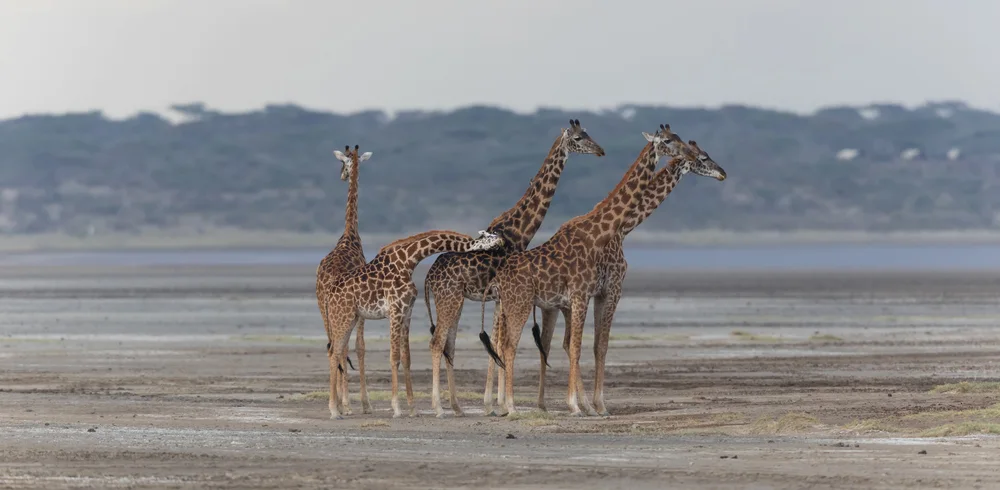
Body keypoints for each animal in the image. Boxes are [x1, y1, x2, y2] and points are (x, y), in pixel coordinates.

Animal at [324, 229, 505, 419]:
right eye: (490, 236)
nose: (502, 241)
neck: (409, 261)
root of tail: (329, 295)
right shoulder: (395, 311)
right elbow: (394, 357)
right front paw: (397, 409)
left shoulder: (407, 313)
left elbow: (406, 358)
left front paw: (413, 409)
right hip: (342, 317)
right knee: (335, 353)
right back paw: (334, 411)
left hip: (349, 318)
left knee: (334, 351)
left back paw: (337, 407)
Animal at [422, 119, 605, 417]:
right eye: (579, 138)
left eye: (588, 133)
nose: (600, 150)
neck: (519, 231)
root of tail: (427, 277)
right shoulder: (503, 295)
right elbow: (499, 341)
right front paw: (499, 404)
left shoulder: (498, 297)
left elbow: (497, 342)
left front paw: (494, 404)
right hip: (449, 299)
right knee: (437, 343)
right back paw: (438, 407)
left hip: (454, 300)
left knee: (449, 344)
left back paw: (457, 407)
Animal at [480, 124, 689, 416]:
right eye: (668, 141)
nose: (690, 154)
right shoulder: (590, 294)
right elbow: (579, 346)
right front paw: (579, 406)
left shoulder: (581, 298)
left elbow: (582, 345)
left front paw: (588, 405)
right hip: (513, 304)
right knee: (502, 344)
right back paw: (504, 405)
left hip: (515, 304)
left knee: (506, 343)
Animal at [532, 140, 727, 416]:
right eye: (703, 157)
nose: (722, 173)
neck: (624, 228)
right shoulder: (613, 288)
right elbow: (600, 345)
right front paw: (599, 405)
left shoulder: (596, 293)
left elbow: (591, 345)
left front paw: (591, 403)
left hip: (552, 306)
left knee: (548, 344)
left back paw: (541, 403)